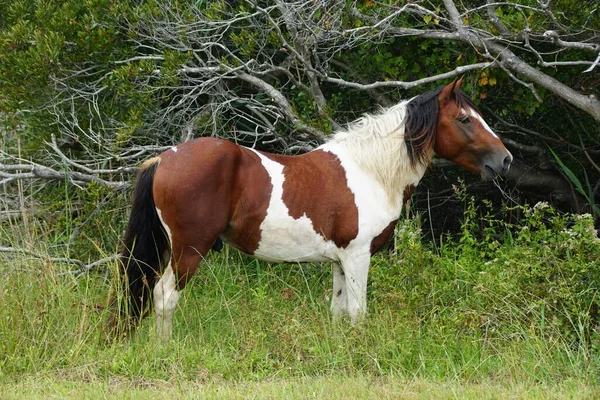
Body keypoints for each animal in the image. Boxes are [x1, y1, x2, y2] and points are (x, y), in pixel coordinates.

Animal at [108, 79, 510, 340]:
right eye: (465, 119)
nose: (504, 160)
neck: (370, 170)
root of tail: (165, 158)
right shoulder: (358, 256)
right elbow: (358, 312)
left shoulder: (339, 260)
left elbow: (338, 310)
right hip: (189, 251)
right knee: (164, 297)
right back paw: (165, 351)